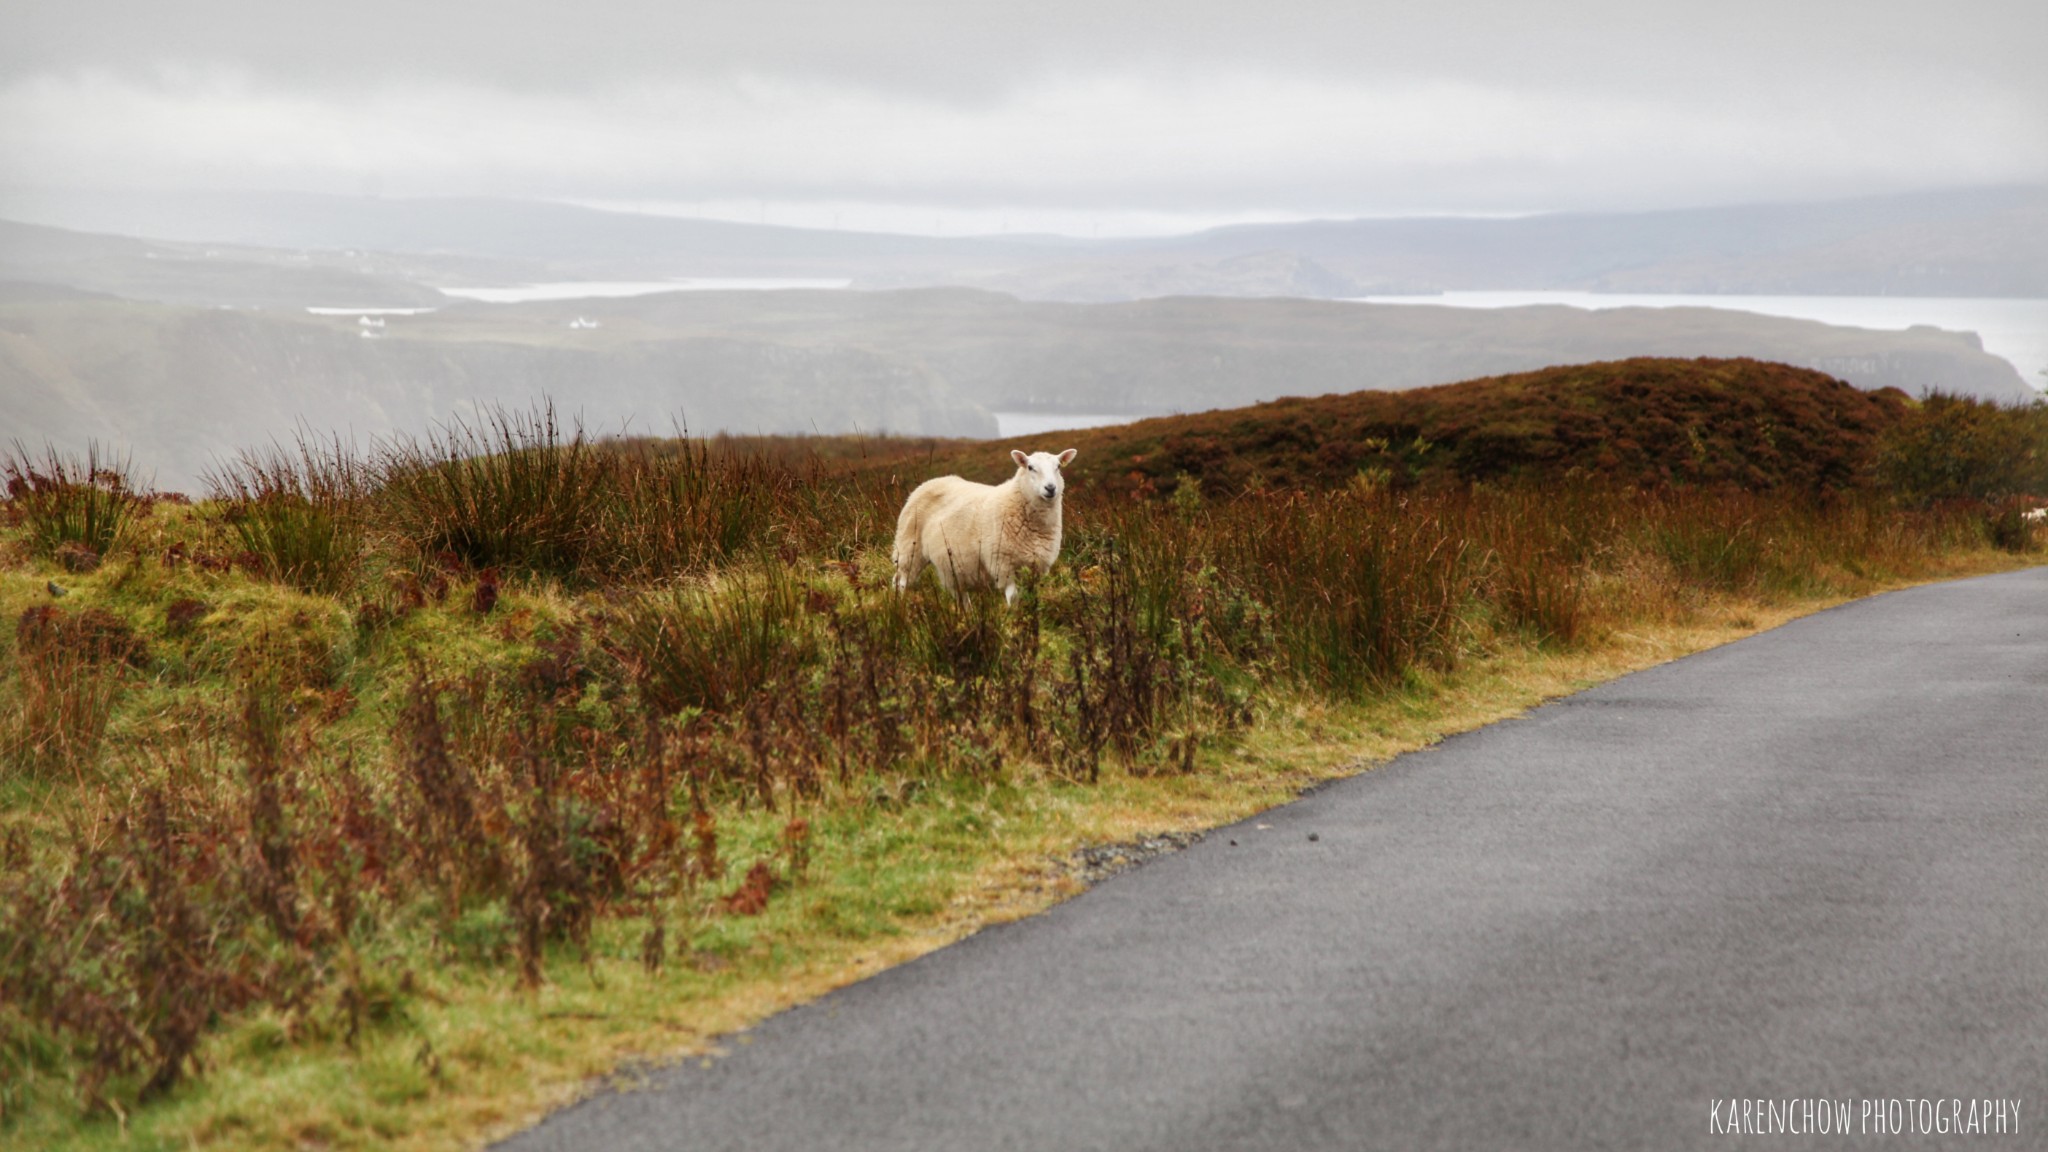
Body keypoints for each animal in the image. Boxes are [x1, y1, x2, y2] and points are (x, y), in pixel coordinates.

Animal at [897, 444, 1089, 606]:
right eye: (1030, 467)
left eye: (1058, 467)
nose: (1050, 488)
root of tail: (930, 482)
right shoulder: (1003, 564)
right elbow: (1013, 597)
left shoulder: (1039, 567)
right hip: (908, 548)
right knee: (901, 581)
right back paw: (899, 607)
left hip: (951, 565)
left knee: (960, 595)